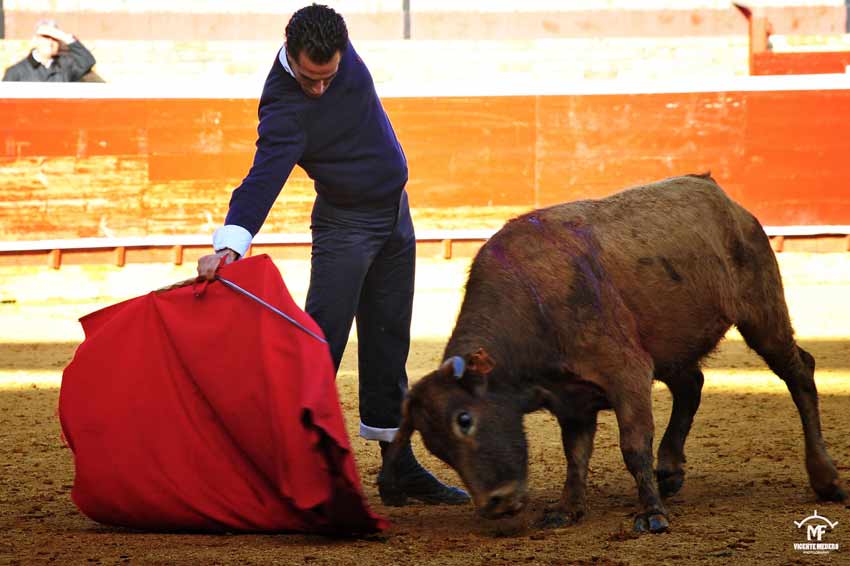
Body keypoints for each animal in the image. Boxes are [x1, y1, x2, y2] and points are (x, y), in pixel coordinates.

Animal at [388, 172, 844, 532]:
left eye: (465, 419)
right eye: (435, 447)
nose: (495, 505)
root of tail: (718, 193)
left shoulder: (627, 373)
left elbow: (633, 446)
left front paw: (652, 515)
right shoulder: (572, 401)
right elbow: (576, 454)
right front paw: (567, 510)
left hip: (762, 314)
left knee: (799, 372)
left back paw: (826, 478)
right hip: (670, 344)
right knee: (692, 384)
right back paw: (670, 469)